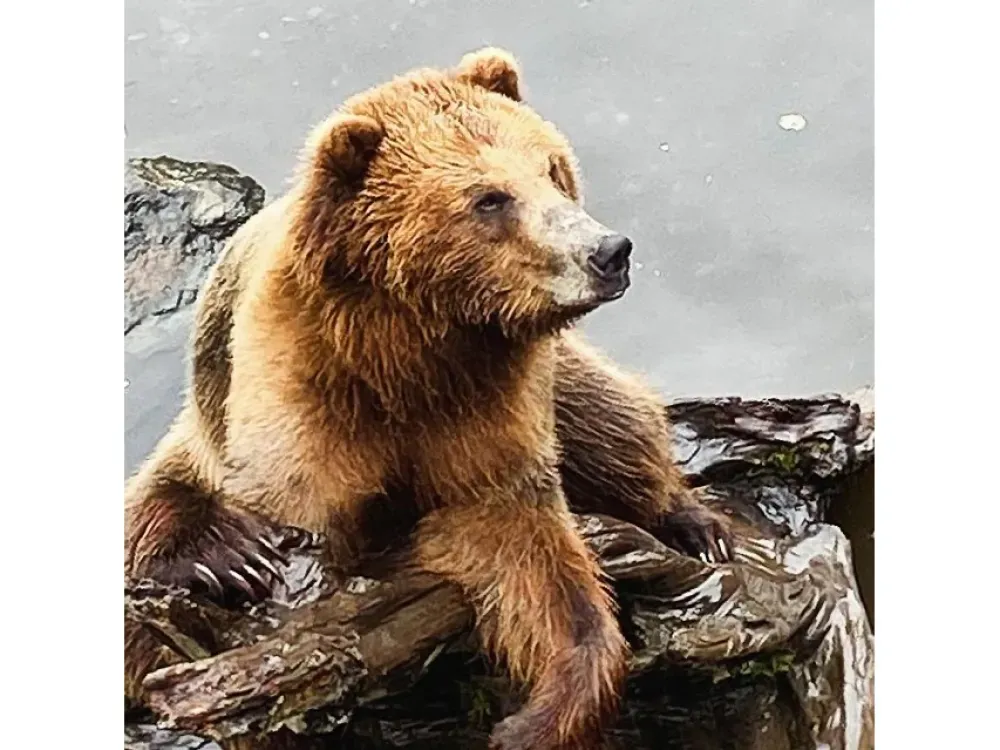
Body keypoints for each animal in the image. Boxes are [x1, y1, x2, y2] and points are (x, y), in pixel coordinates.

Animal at [124, 48, 732, 750]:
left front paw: (535, 716)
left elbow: (531, 558)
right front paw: (250, 570)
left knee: (616, 420)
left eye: (552, 168)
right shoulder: (305, 409)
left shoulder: (487, 416)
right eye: (490, 198)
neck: (411, 352)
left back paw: (697, 526)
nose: (608, 251)